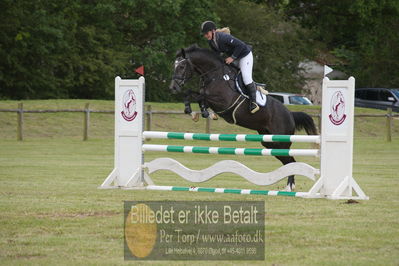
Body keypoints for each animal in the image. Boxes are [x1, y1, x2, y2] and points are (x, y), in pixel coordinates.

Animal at [170, 45, 318, 191]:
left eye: (181, 66)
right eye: (174, 65)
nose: (173, 88)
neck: (215, 75)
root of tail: (290, 114)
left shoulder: (223, 102)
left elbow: (201, 97)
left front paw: (203, 113)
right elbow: (191, 94)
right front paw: (196, 113)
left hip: (280, 142)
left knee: (291, 161)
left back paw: (289, 186)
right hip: (269, 142)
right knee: (288, 162)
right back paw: (289, 186)